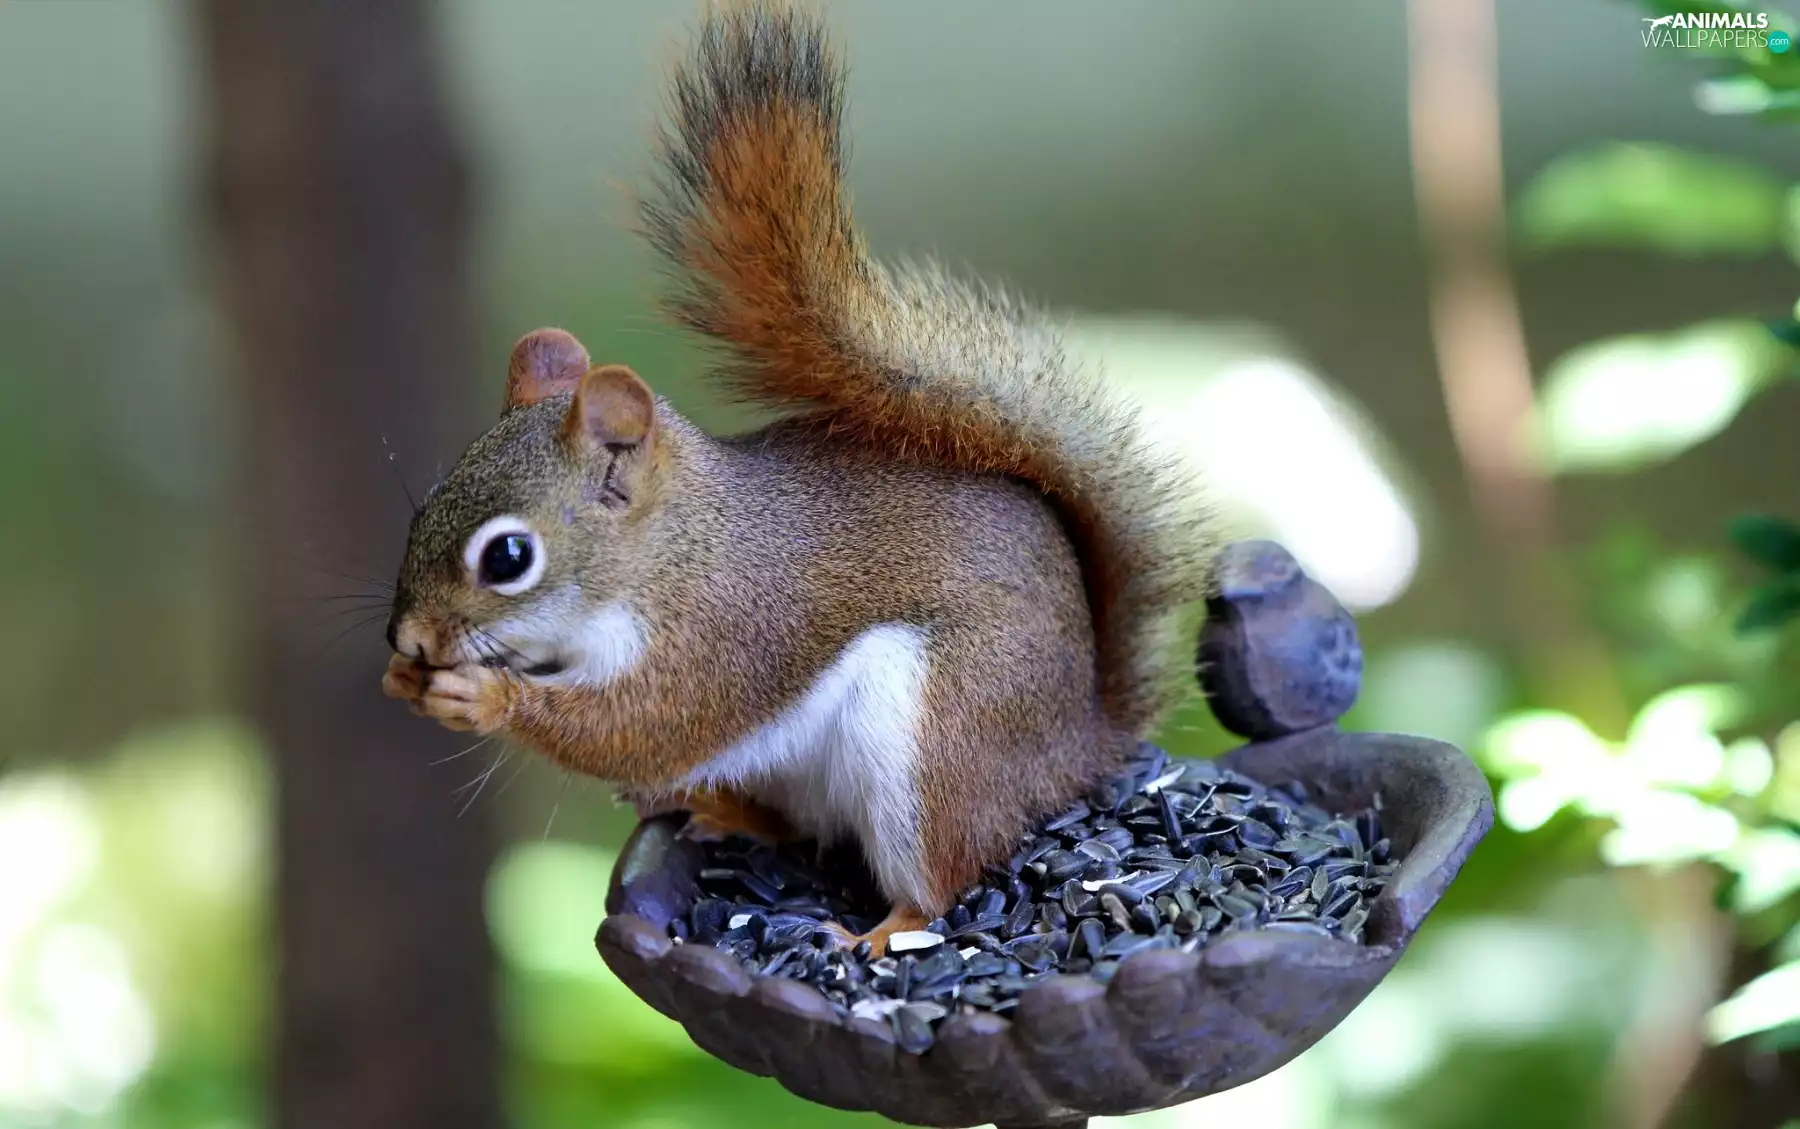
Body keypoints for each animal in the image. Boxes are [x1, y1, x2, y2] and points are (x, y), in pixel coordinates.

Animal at [381, 0, 1212, 953]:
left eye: (508, 557)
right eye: (422, 512)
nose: (408, 638)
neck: (670, 555)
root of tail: (1079, 745)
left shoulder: (726, 633)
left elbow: (642, 727)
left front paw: (482, 695)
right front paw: (407, 680)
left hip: (936, 741)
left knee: (942, 877)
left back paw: (881, 934)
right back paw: (726, 812)